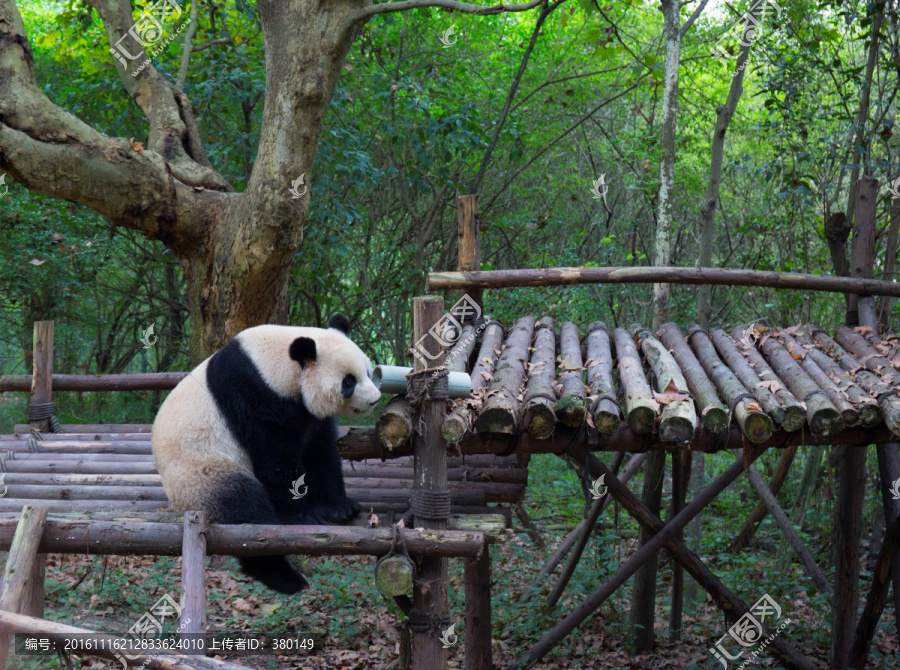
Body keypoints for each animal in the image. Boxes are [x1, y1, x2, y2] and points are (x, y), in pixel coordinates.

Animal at [153, 318, 382, 596]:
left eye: (367, 372)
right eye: (348, 381)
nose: (375, 399)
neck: (273, 366)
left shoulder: (305, 412)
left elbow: (321, 452)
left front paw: (341, 506)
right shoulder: (254, 397)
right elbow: (276, 461)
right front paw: (307, 514)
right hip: (200, 473)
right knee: (245, 512)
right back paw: (285, 577)